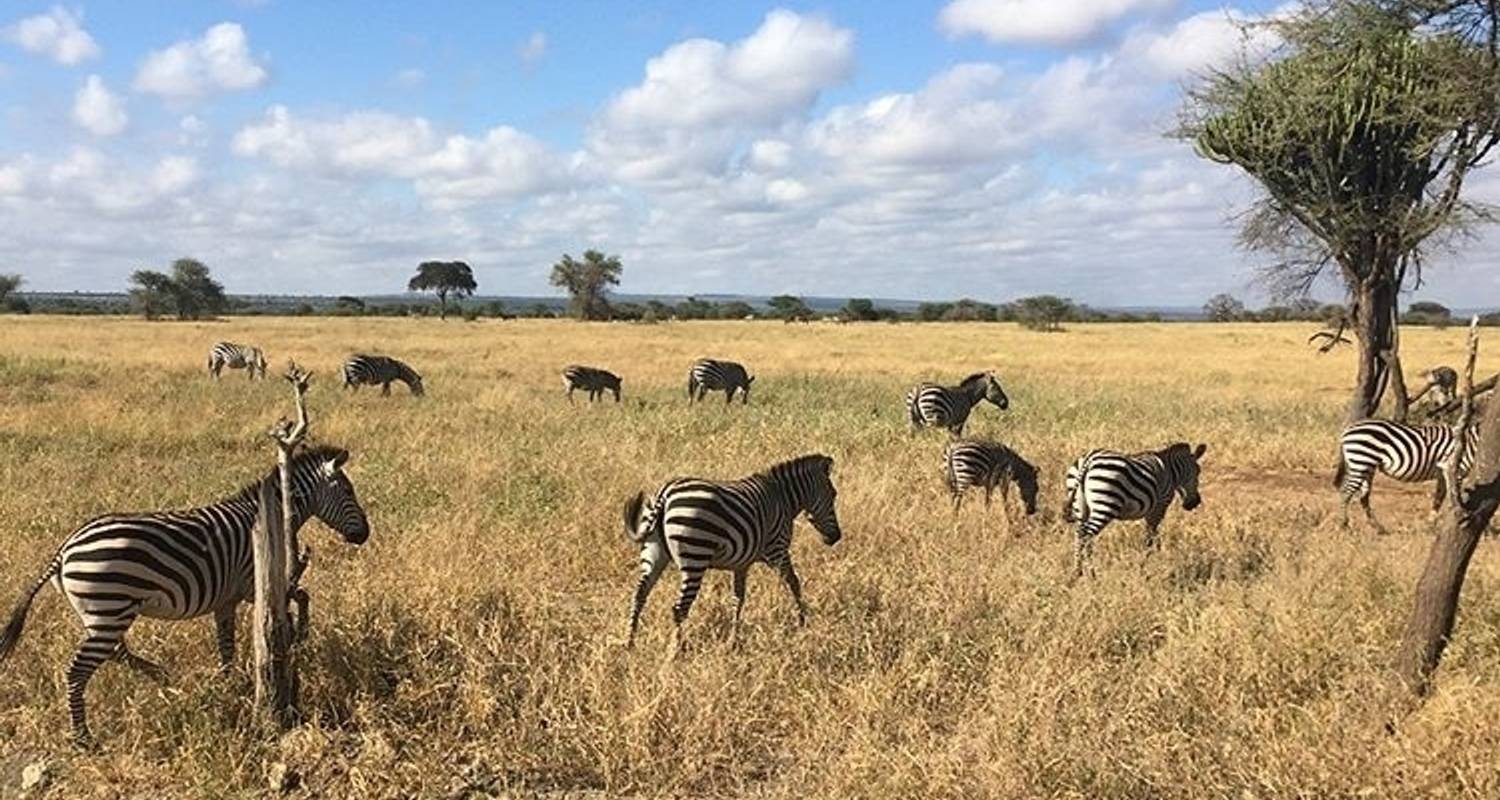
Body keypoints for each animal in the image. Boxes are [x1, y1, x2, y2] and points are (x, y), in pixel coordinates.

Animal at [0, 447, 372, 744]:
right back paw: (84, 738)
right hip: (109, 607)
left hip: (101, 613)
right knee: (77, 672)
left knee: (116, 652)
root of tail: (64, 550)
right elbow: (303, 595)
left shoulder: (228, 599)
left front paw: (228, 684)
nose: (364, 535)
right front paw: (302, 633)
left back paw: (161, 676)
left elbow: (226, 645)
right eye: (349, 492)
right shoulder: (253, 586)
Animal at [615, 450, 840, 648]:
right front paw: (803, 621)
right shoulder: (778, 550)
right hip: (695, 555)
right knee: (679, 608)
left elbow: (738, 598)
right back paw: (676, 650)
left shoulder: (741, 563)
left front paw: (734, 639)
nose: (836, 537)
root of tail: (666, 493)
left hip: (654, 553)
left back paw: (629, 642)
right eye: (833, 495)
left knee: (639, 596)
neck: (782, 498)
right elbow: (793, 583)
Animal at [1338, 417, 1476, 531]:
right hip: (1361, 461)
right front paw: (1458, 517)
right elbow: (1455, 495)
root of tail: (1347, 430)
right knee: (1346, 492)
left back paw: (1377, 527)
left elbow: (1439, 497)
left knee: (1363, 497)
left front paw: (1430, 524)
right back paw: (1344, 524)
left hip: (1366, 466)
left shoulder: (1442, 472)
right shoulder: (1454, 469)